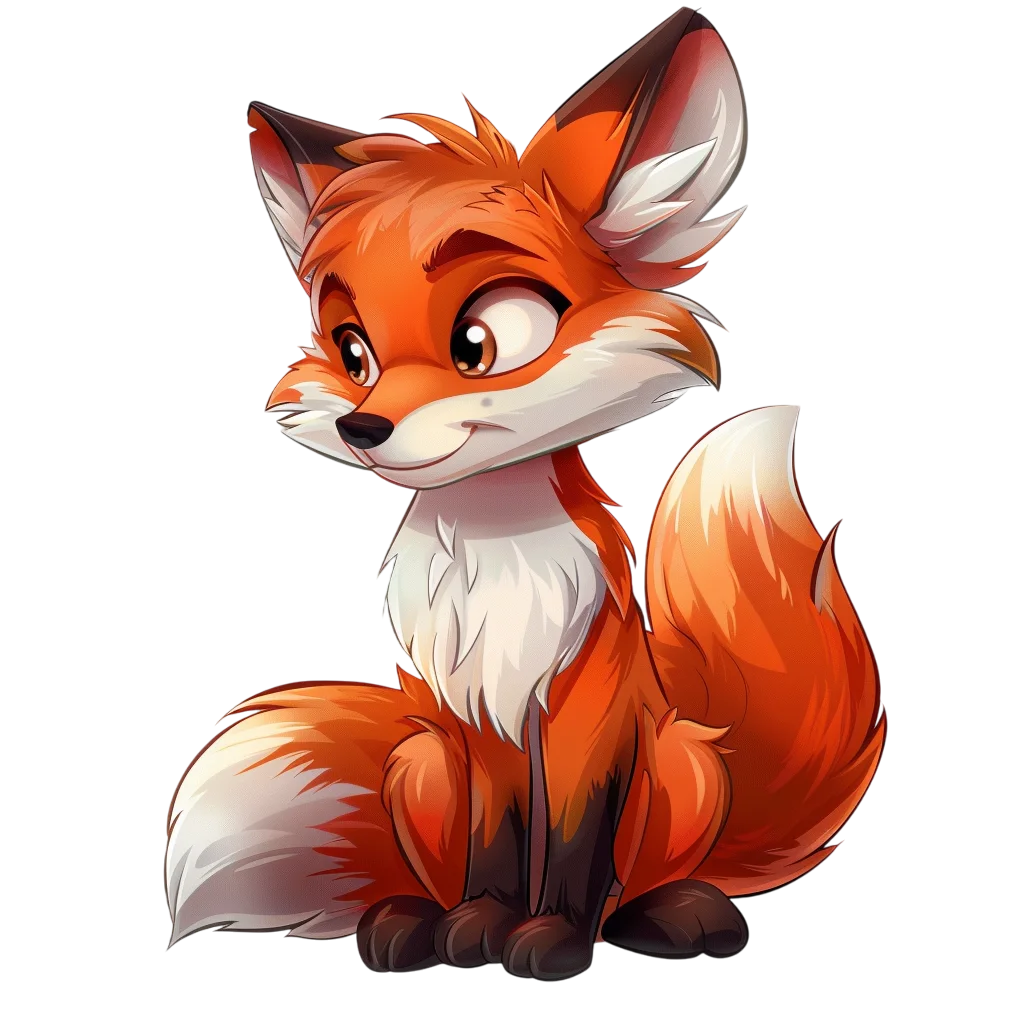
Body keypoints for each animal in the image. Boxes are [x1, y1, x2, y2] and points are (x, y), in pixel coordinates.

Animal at [164, 8, 886, 977]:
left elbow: (577, 848)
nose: (364, 428)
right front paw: (480, 927)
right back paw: (411, 921)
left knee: (640, 885)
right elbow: (497, 847)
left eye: (482, 342)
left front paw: (550, 940)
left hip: (683, 766)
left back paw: (670, 915)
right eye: (354, 352)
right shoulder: (476, 724)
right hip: (418, 760)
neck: (489, 560)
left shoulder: (584, 713)